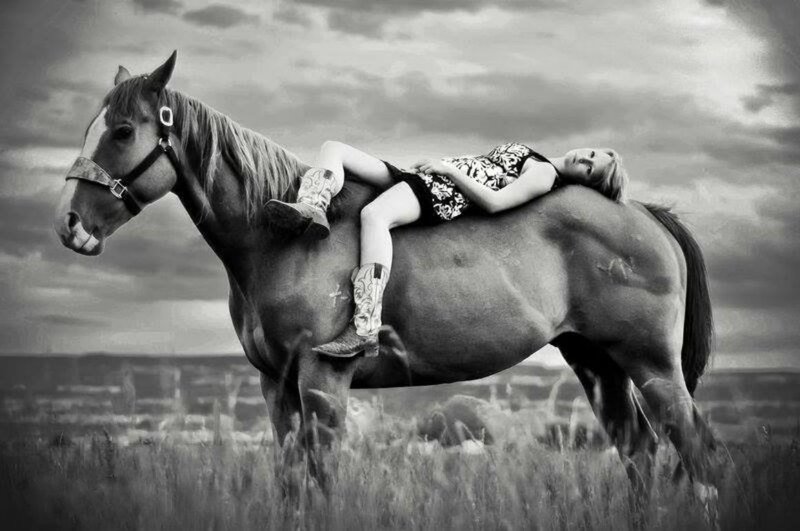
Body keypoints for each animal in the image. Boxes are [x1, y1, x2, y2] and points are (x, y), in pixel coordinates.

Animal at [53, 52, 718, 502]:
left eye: (122, 131)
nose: (69, 224)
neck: (279, 241)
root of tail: (644, 214)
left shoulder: (322, 383)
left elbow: (321, 483)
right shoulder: (276, 387)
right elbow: (291, 486)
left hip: (651, 366)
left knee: (695, 453)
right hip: (596, 362)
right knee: (639, 453)